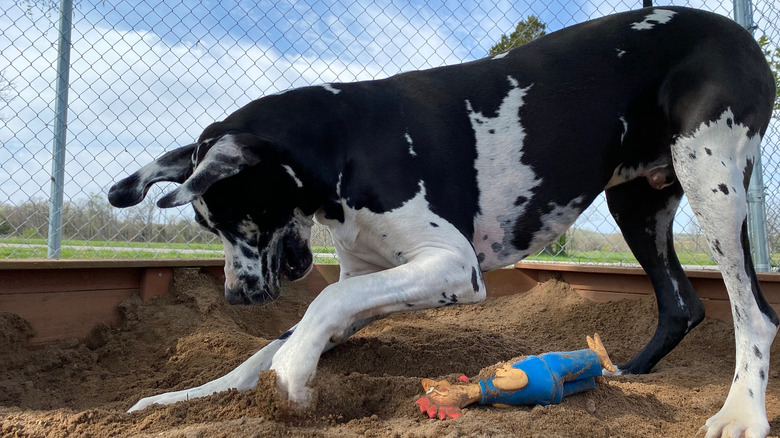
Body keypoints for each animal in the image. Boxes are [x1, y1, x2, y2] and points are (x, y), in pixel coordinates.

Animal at [108, 7, 772, 438]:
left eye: (238, 217)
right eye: (207, 229)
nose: (236, 298)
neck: (348, 142)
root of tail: (736, 30)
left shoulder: (452, 266)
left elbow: (320, 306)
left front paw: (292, 378)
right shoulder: (373, 281)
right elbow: (280, 338)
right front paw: (185, 398)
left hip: (711, 181)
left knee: (754, 314)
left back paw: (741, 413)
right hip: (638, 205)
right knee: (683, 303)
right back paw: (628, 374)